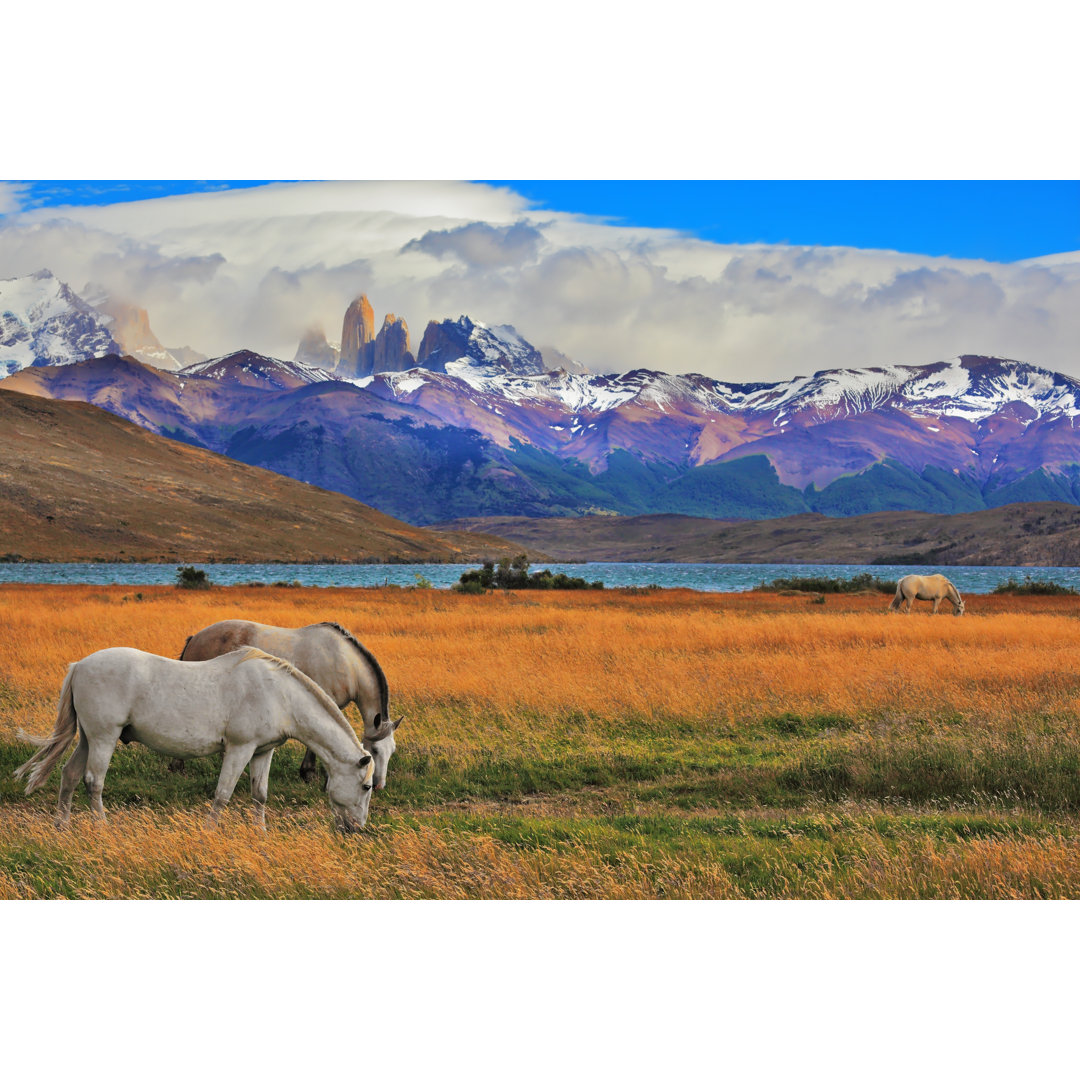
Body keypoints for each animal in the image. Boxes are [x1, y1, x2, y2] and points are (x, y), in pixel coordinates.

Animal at [10, 643, 375, 829]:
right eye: (367, 786)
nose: (356, 829)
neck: (279, 693)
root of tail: (79, 666)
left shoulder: (262, 752)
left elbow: (260, 795)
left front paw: (260, 834)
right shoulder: (239, 749)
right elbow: (223, 795)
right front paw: (211, 833)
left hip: (88, 738)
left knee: (69, 775)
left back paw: (63, 827)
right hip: (103, 738)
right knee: (93, 781)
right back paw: (102, 828)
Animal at [181, 622, 401, 790]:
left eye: (392, 751)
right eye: (374, 750)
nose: (378, 785)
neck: (345, 662)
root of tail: (195, 638)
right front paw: (310, 774)